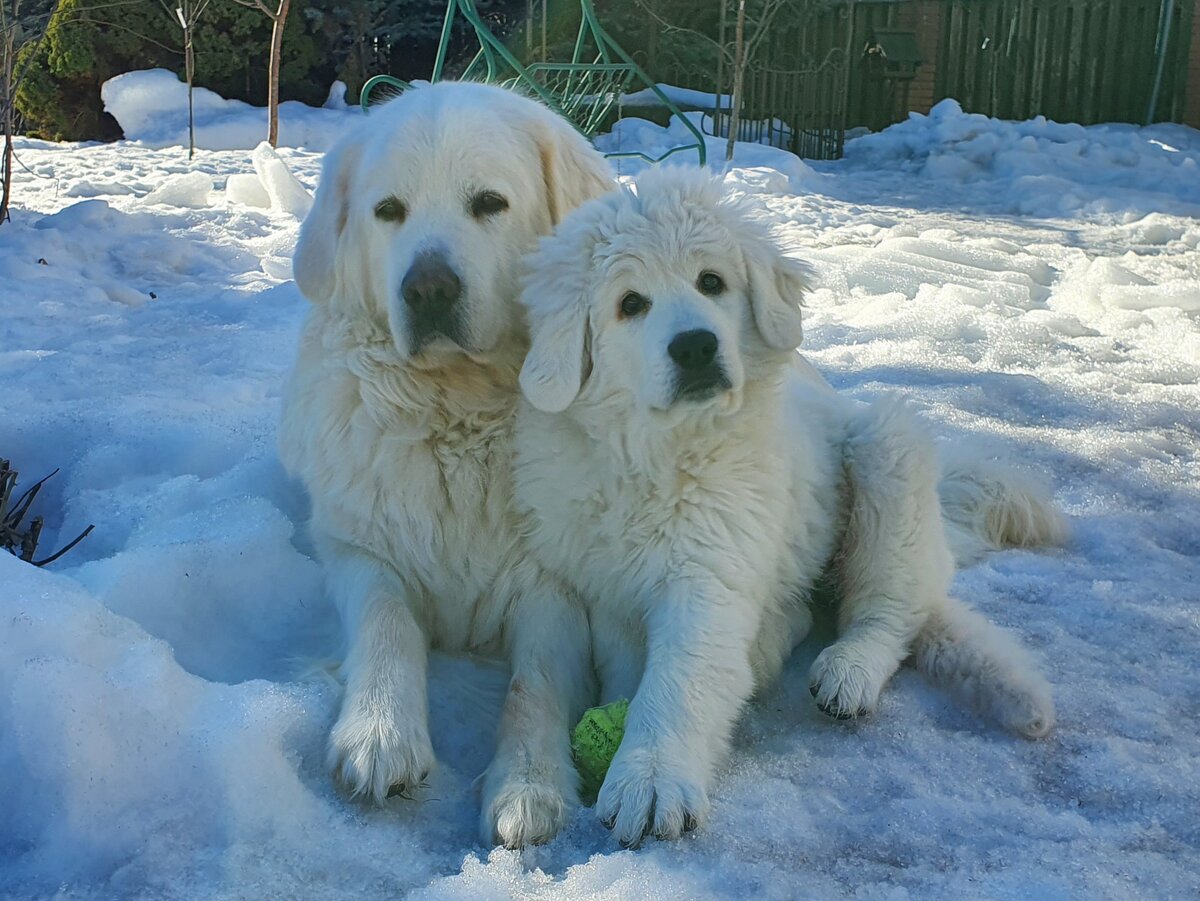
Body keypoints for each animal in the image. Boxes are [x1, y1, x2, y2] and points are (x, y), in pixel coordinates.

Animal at [279, 80, 614, 849]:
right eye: (388, 211)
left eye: (489, 202)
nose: (427, 288)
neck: (457, 409)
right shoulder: (359, 548)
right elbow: (386, 623)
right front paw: (379, 732)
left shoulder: (556, 589)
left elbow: (534, 684)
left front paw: (530, 784)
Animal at [511, 167, 1065, 844]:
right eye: (630, 304)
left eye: (712, 282)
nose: (696, 347)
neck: (657, 453)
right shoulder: (603, 580)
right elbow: (627, 663)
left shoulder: (713, 573)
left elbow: (680, 679)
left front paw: (650, 779)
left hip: (886, 453)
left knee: (889, 610)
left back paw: (849, 670)